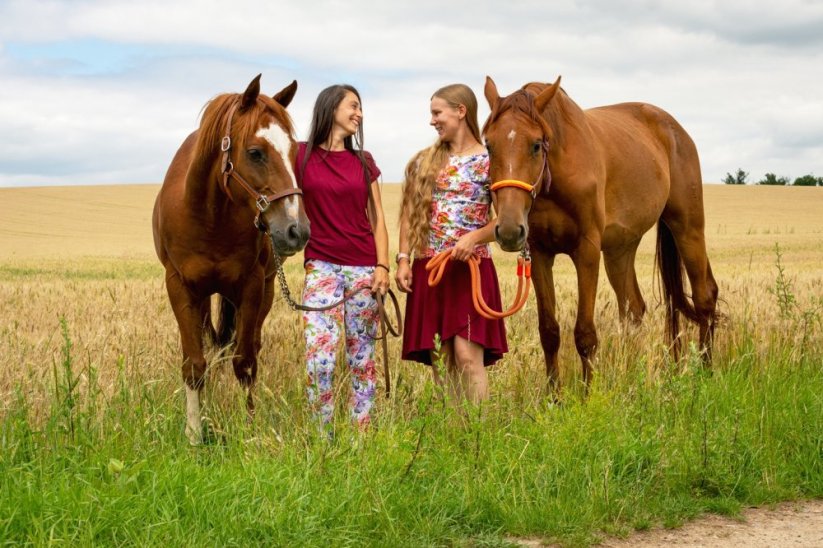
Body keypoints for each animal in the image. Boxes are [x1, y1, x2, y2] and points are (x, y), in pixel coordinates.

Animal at [153, 75, 310, 444]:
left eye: (294, 152)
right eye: (255, 153)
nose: (297, 230)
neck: (209, 217)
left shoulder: (250, 287)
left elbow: (244, 361)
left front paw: (249, 428)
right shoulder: (179, 287)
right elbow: (194, 363)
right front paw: (194, 434)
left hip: (266, 290)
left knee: (249, 345)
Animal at [486, 76, 716, 390]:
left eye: (536, 145)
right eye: (488, 145)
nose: (509, 230)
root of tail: (675, 130)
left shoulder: (587, 251)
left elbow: (585, 334)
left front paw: (588, 394)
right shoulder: (540, 254)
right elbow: (549, 332)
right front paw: (554, 395)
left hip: (687, 227)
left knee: (705, 297)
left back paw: (706, 373)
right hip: (621, 249)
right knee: (633, 309)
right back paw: (630, 377)